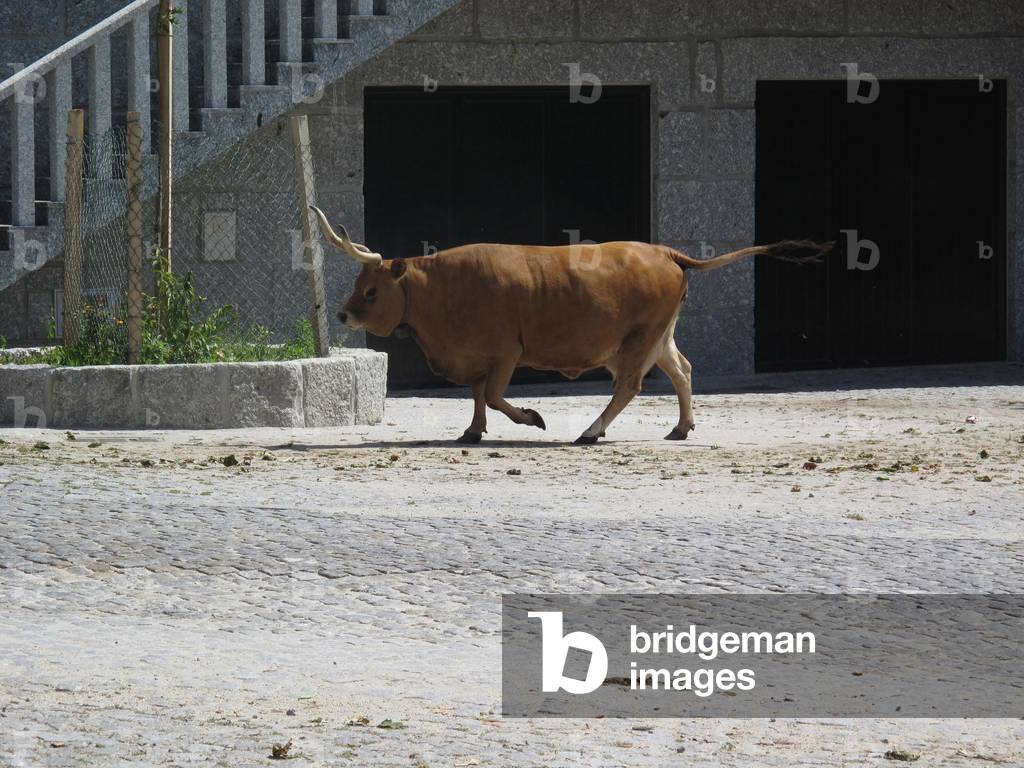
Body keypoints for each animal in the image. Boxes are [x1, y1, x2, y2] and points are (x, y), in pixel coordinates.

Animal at [310, 206, 828, 445]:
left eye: (371, 291)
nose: (342, 314)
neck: (443, 288)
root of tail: (665, 252)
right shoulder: (478, 357)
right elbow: (478, 396)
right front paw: (473, 431)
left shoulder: (506, 354)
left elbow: (494, 396)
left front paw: (531, 418)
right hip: (658, 337)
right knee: (682, 371)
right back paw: (681, 427)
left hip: (637, 341)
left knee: (629, 386)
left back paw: (591, 430)